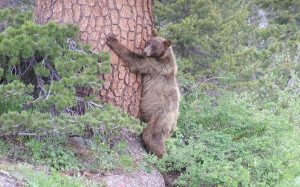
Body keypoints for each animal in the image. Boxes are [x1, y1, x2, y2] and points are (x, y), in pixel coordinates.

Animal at [106, 30, 179, 159]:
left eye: (154, 47)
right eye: (147, 42)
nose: (144, 52)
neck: (163, 57)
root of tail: (172, 125)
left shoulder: (154, 66)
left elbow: (135, 61)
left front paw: (113, 40)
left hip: (160, 118)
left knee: (151, 136)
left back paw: (161, 156)